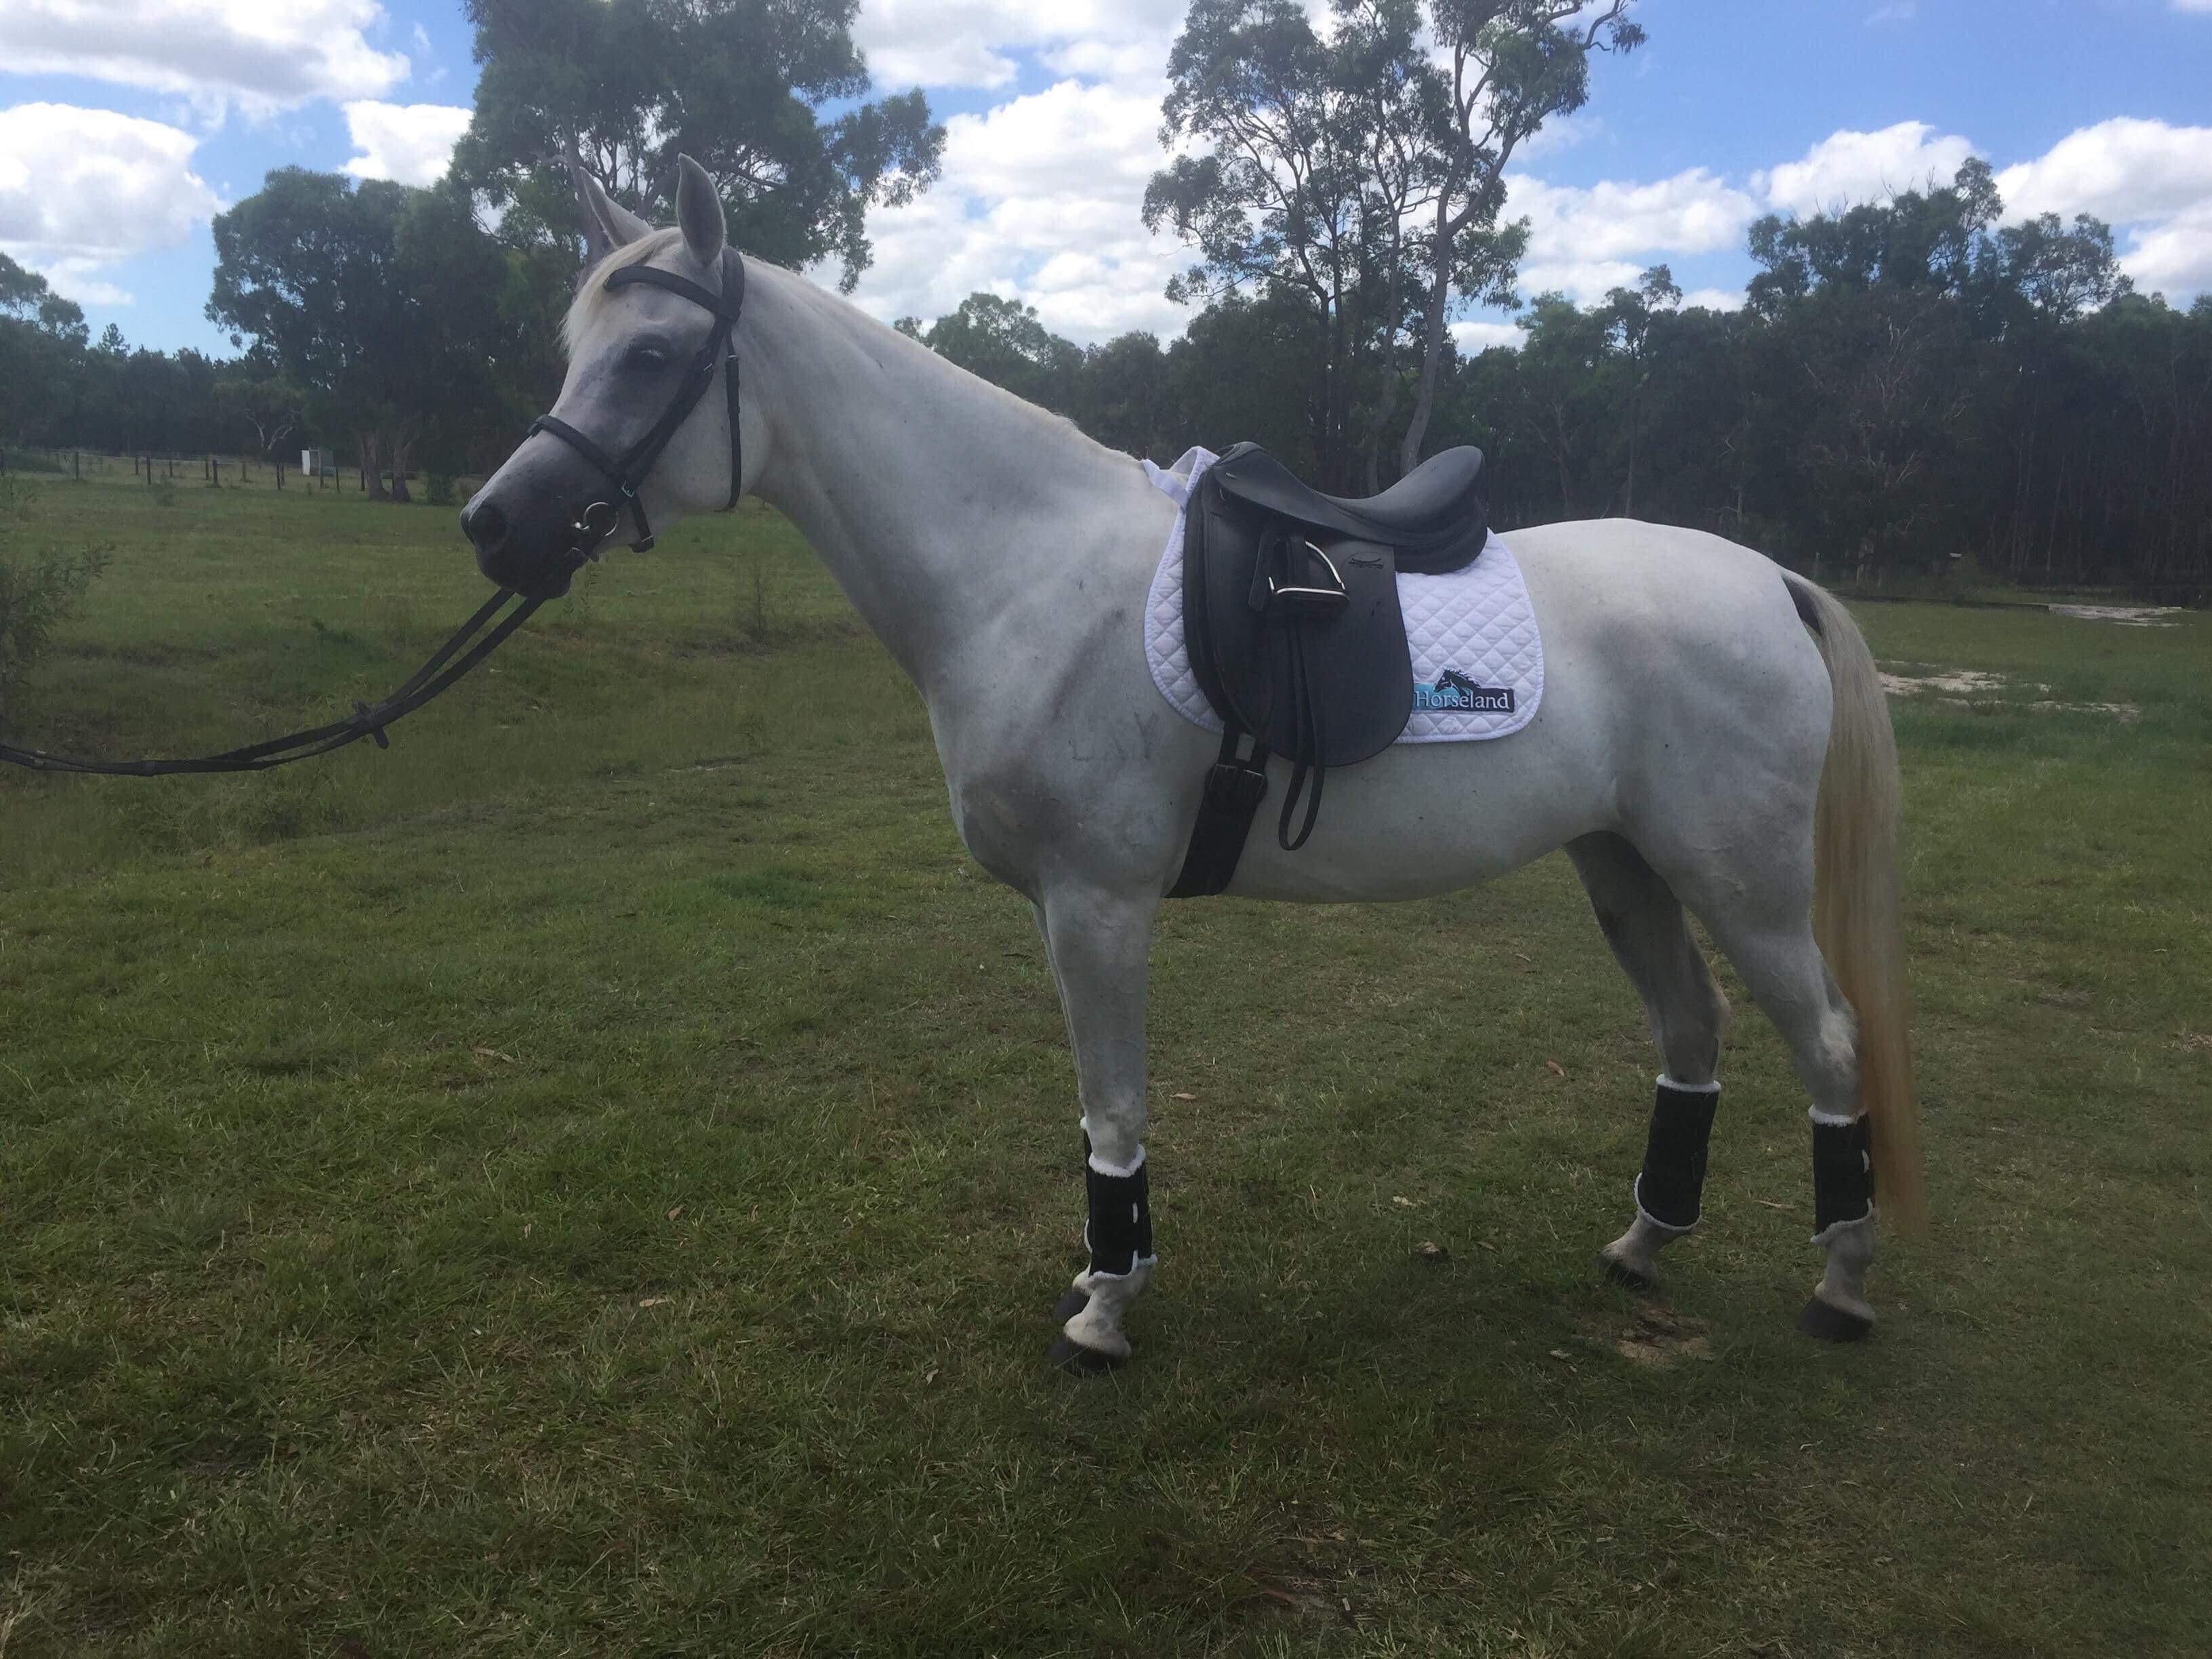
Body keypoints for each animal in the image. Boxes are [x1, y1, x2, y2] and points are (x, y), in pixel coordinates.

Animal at [461, 157, 1925, 1371]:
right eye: (576, 347)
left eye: (653, 356)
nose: (496, 525)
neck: (1026, 574)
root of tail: (1769, 579)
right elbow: (1100, 1115)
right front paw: (1103, 1279)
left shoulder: (1097, 906)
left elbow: (1113, 1112)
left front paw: (1105, 1310)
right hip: (1622, 866)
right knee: (1692, 1031)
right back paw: (1640, 1246)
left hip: (1741, 884)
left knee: (1829, 1043)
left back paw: (1842, 1285)